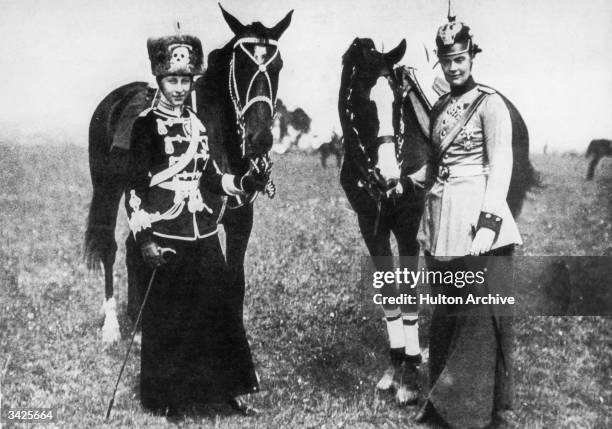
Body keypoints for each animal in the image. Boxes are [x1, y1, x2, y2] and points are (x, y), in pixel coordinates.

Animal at [85, 2, 292, 338]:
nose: (260, 138)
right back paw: (113, 327)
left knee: (134, 246)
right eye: (241, 66)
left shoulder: (240, 222)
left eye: (278, 65)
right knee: (109, 246)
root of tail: (113, 100)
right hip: (107, 189)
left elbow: (234, 281)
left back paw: (138, 322)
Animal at [338, 36, 432, 404]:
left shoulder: (408, 226)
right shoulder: (371, 227)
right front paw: (395, 367)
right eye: (360, 102)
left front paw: (410, 377)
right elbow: (390, 291)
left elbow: (408, 292)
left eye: (396, 102)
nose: (388, 176)